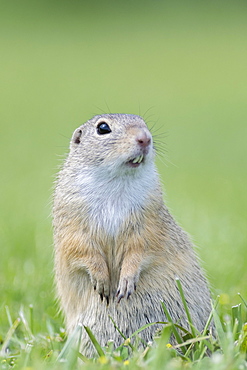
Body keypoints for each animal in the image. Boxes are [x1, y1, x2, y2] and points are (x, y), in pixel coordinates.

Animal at [53, 113, 212, 356]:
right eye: (103, 128)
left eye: (143, 122)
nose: (145, 138)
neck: (116, 181)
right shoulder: (73, 225)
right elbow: (81, 250)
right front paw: (102, 281)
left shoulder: (148, 223)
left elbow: (141, 249)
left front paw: (126, 281)